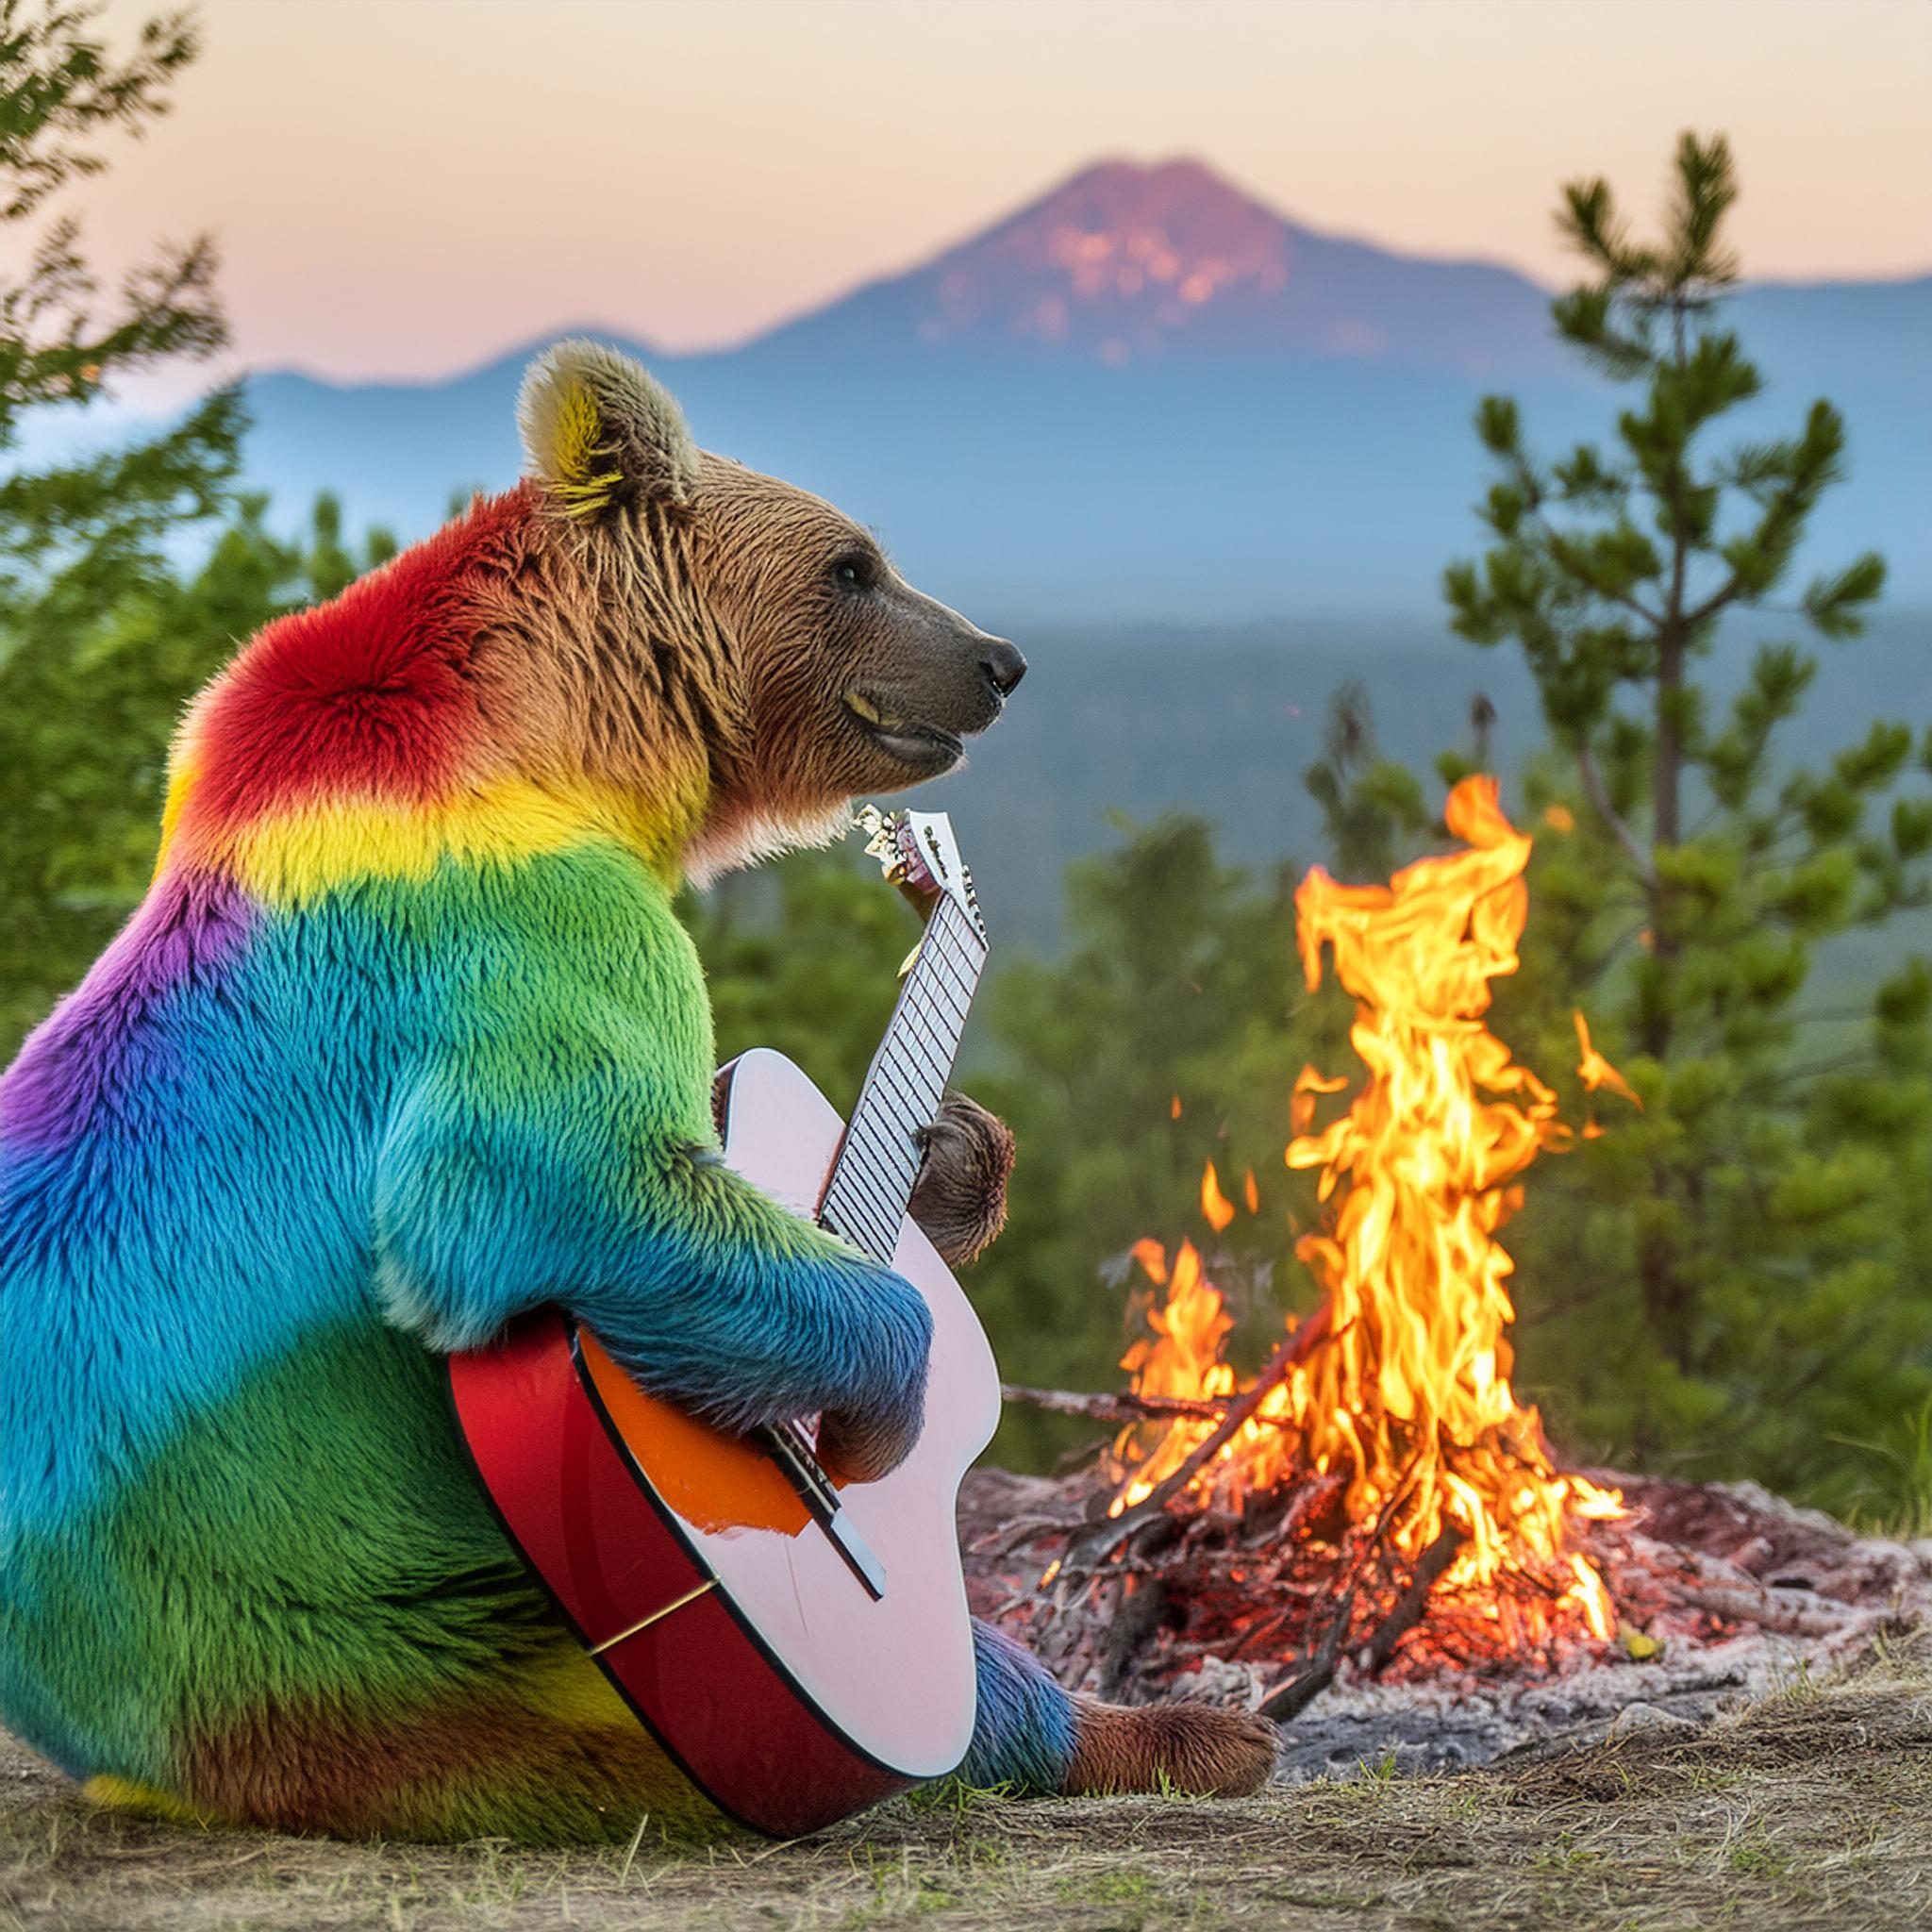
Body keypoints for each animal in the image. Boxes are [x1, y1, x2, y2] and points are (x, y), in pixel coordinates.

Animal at [0, 341, 1277, 1841]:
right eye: (853, 565)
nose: (997, 661)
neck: (567, 735)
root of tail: (150, 1755)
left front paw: (954, 1157)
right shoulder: (532, 921)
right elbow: (550, 1181)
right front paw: (881, 1394)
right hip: (471, 1659)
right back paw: (1179, 1731)